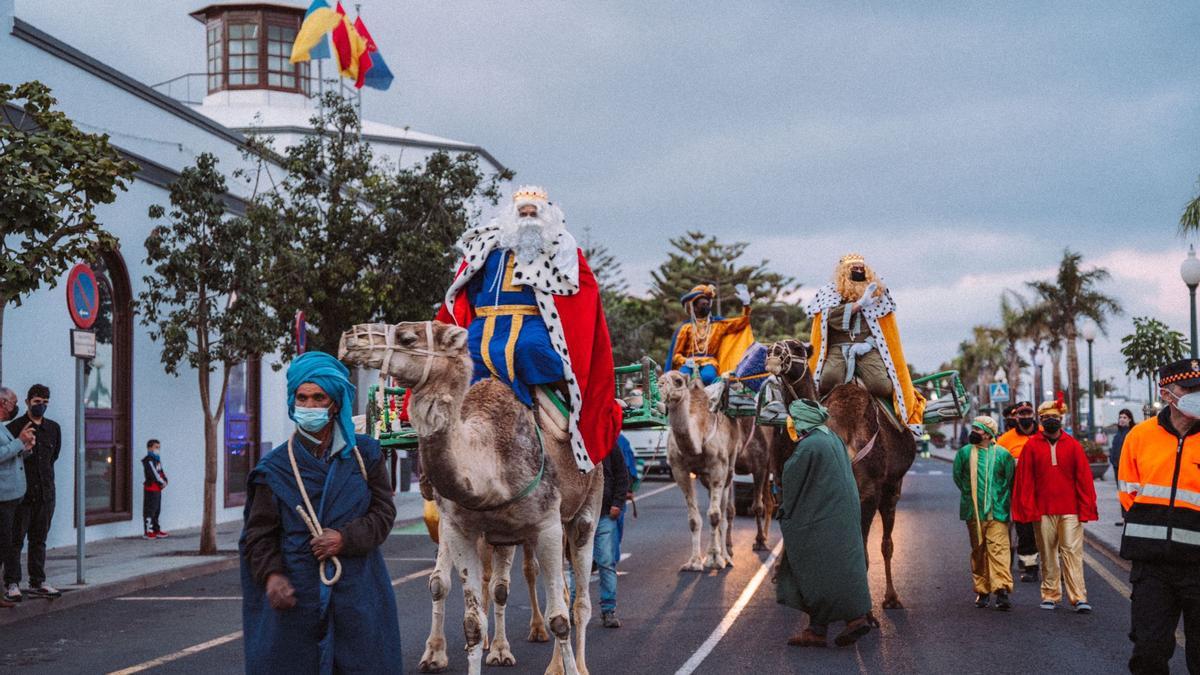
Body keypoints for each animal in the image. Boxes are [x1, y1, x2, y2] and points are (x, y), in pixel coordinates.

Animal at [338, 319, 600, 672]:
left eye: (407, 337)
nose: (350, 338)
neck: (489, 458)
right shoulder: (459, 528)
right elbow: (469, 619)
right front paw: (438, 654)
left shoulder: (547, 525)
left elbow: (559, 618)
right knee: (529, 587)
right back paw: (524, 656)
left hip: (586, 507)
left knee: (579, 598)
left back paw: (571, 664)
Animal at [657, 367, 748, 566]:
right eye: (659, 380)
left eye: (678, 381)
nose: (660, 388)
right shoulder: (679, 470)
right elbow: (693, 519)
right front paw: (694, 562)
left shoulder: (718, 467)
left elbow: (714, 515)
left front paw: (715, 559)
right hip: (706, 477)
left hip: (729, 467)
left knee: (723, 511)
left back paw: (726, 557)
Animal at [763, 338, 912, 607]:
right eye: (774, 347)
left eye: (797, 347)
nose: (772, 352)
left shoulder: (867, 491)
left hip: (891, 487)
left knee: (886, 542)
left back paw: (891, 597)